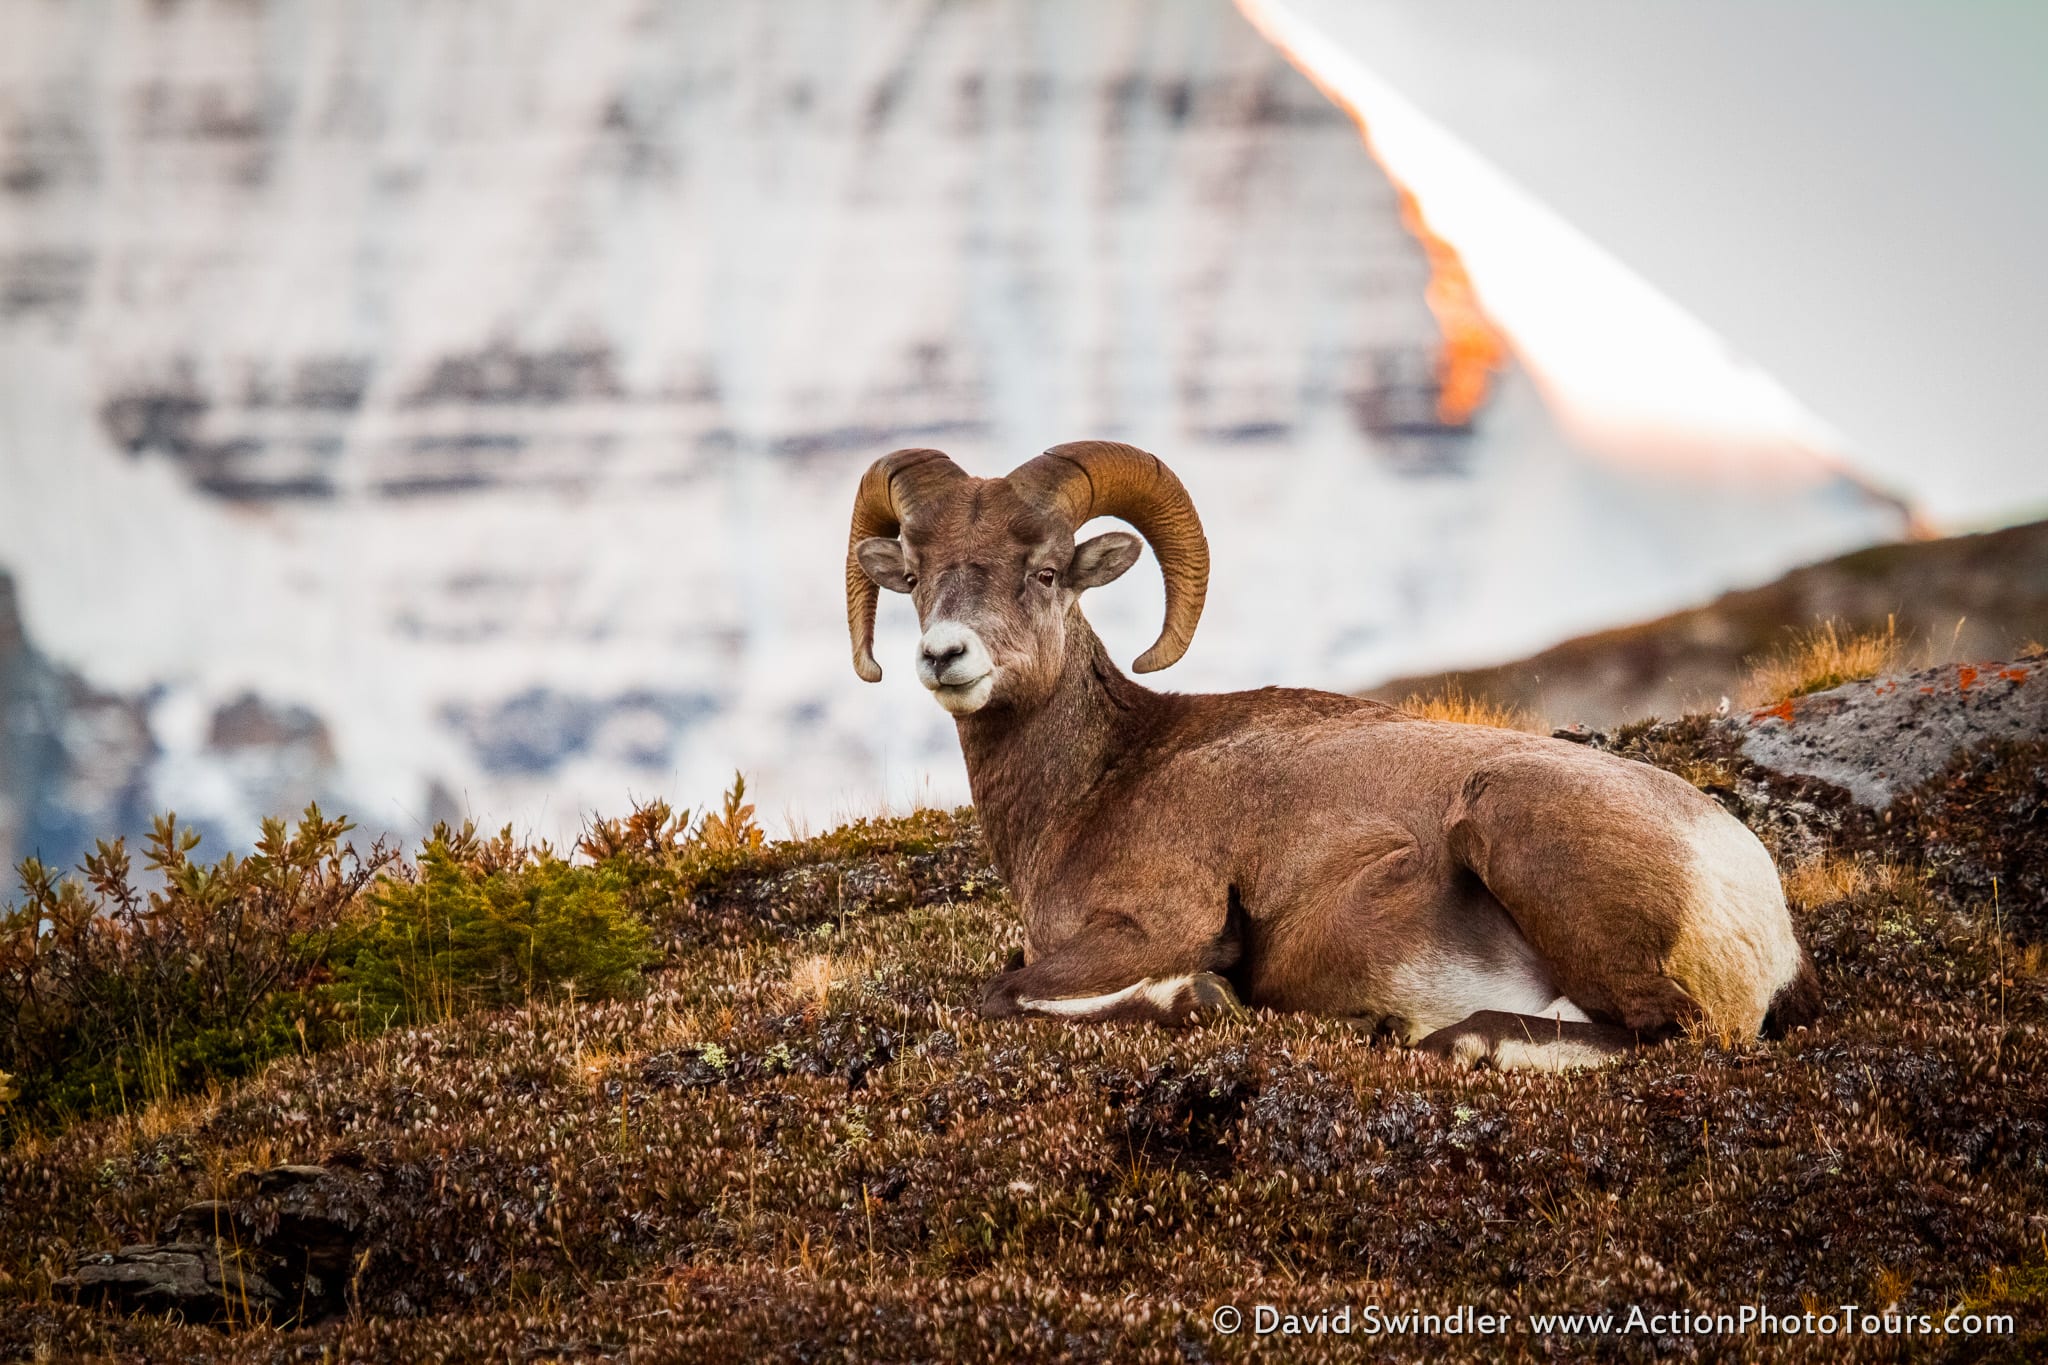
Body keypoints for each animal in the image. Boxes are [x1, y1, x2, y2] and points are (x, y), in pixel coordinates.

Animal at [839, 439, 1818, 1064]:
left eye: (1043, 573)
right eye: (917, 576)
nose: (944, 656)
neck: (1097, 782)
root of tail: (1748, 892)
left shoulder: (1158, 925)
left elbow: (1001, 992)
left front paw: (1195, 997)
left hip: (1509, 822)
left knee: (1669, 1031)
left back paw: (1449, 1038)